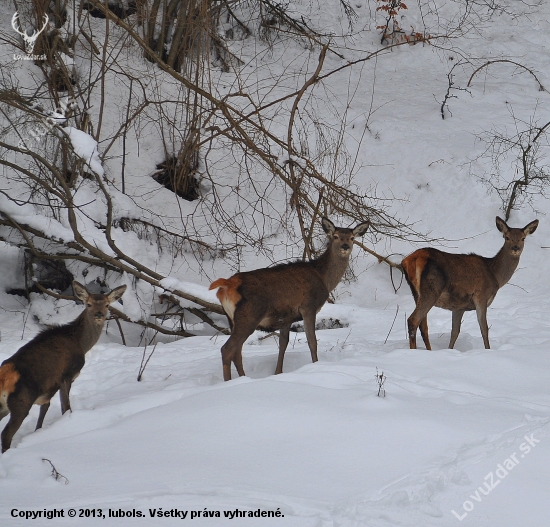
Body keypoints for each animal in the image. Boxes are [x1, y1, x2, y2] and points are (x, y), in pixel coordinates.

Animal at [0, 282, 126, 452]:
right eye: (88, 304)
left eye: (107, 305)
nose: (99, 314)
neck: (81, 344)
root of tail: (4, 377)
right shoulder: (68, 374)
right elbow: (65, 407)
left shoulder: (50, 387)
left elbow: (44, 412)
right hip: (21, 402)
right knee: (6, 434)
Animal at [210, 217, 370, 382]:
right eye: (336, 236)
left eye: (352, 238)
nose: (345, 246)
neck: (324, 278)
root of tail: (227, 286)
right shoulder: (309, 307)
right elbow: (312, 341)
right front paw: (315, 365)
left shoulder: (286, 317)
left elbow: (283, 343)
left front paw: (278, 372)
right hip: (249, 315)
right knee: (227, 349)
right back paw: (229, 382)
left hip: (232, 319)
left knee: (237, 351)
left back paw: (243, 378)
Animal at [404, 217, 540, 352]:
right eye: (506, 237)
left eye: (523, 238)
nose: (515, 248)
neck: (495, 275)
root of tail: (409, 260)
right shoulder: (481, 295)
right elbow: (484, 328)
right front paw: (488, 350)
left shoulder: (459, 306)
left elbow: (455, 331)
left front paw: (450, 350)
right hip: (431, 289)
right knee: (413, 320)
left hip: (416, 293)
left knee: (423, 326)